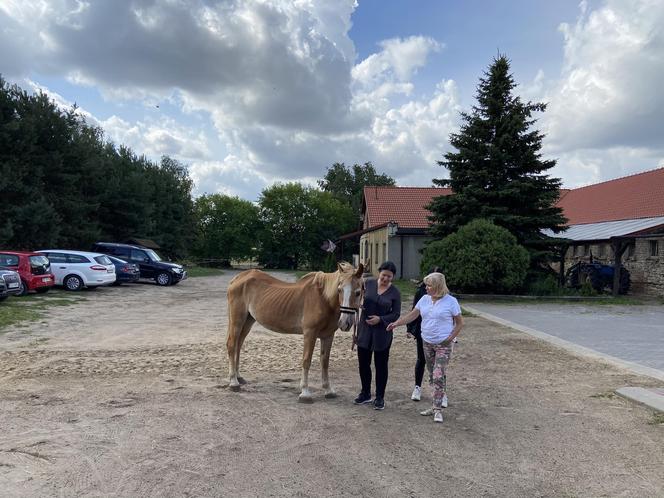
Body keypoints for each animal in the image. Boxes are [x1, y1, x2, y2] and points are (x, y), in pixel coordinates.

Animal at [227, 262, 364, 402]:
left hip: (248, 321)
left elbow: (325, 362)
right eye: (339, 289)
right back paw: (233, 382)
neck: (323, 298)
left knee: (238, 345)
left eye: (358, 292)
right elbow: (306, 360)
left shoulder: (328, 335)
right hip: (237, 321)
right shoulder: (310, 333)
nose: (345, 323)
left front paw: (328, 390)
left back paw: (238, 377)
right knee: (232, 345)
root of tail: (239, 278)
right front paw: (305, 392)